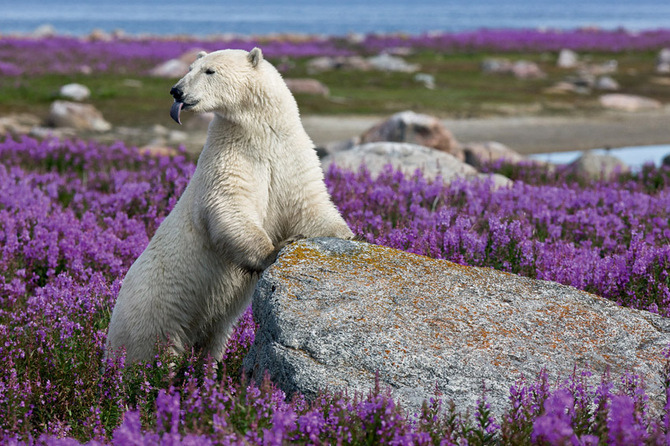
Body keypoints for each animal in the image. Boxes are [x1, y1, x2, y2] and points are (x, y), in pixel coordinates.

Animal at [105, 48, 354, 362]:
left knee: (212, 342)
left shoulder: (290, 157)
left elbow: (309, 204)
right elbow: (229, 206)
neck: (259, 134)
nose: (176, 91)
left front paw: (347, 235)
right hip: (153, 311)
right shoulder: (230, 157)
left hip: (211, 322)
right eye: (189, 68)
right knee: (149, 354)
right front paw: (275, 251)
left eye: (209, 71)